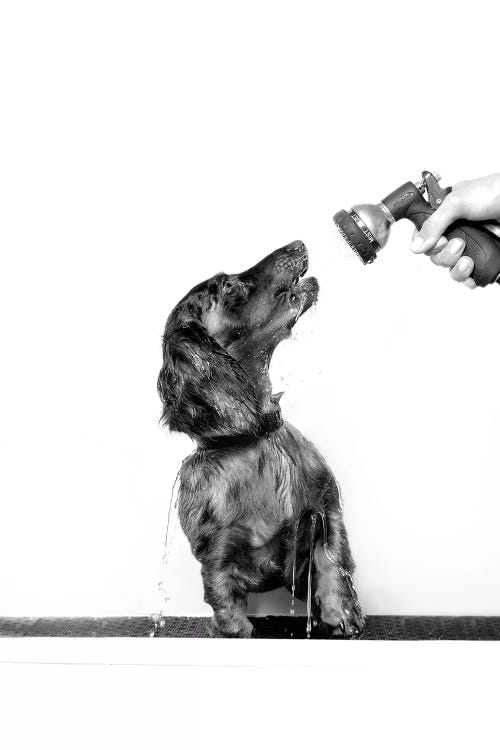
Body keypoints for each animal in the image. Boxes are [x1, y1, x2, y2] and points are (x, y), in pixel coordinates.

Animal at [158, 241, 366, 640]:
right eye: (226, 286)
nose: (297, 244)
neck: (258, 441)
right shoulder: (217, 557)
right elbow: (229, 612)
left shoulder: (325, 512)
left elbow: (332, 565)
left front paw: (343, 615)